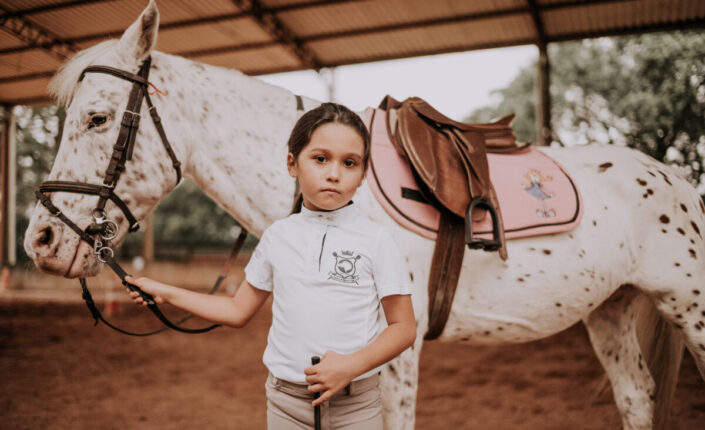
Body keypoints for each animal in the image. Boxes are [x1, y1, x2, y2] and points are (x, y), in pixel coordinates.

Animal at [22, 1, 704, 428]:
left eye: (98, 117)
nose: (42, 239)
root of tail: (675, 178)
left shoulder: (395, 348)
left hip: (689, 307)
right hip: (609, 310)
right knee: (637, 398)